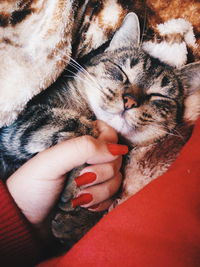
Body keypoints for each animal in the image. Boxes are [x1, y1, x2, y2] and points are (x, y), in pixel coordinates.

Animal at [0, 13, 199, 249]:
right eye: (121, 72)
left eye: (159, 96)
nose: (130, 101)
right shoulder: (16, 127)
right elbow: (64, 124)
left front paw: (77, 221)